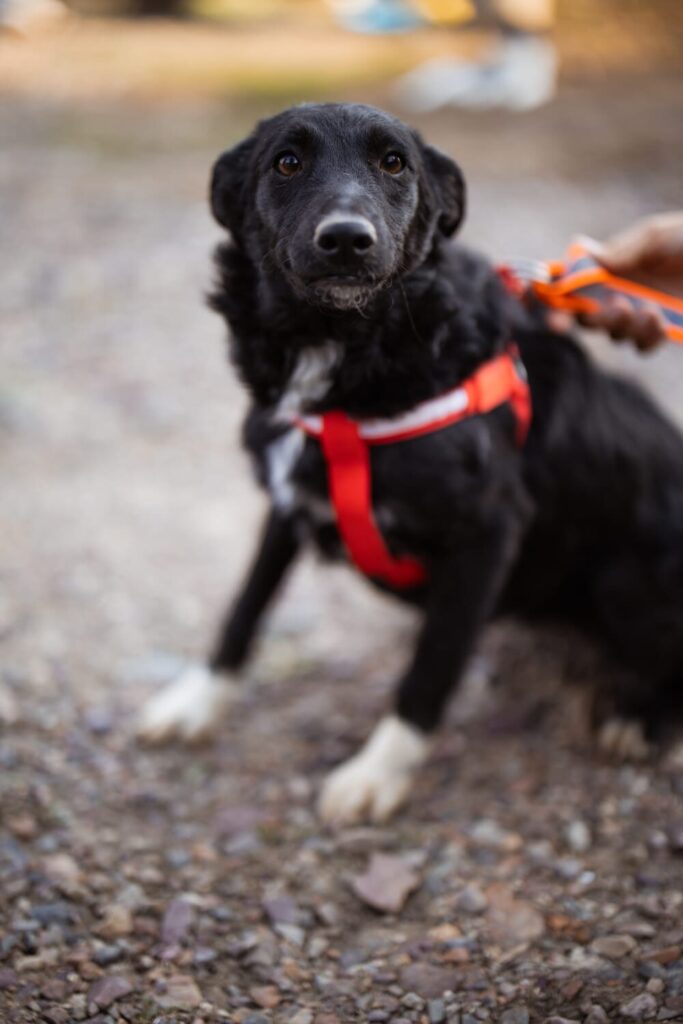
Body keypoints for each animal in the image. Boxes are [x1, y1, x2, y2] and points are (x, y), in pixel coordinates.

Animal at [138, 102, 683, 824]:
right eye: (287, 161)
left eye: (393, 162)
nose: (347, 239)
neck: (340, 359)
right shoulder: (287, 502)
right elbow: (245, 608)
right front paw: (196, 702)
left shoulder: (487, 531)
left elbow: (430, 668)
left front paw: (376, 773)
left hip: (626, 580)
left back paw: (641, 718)